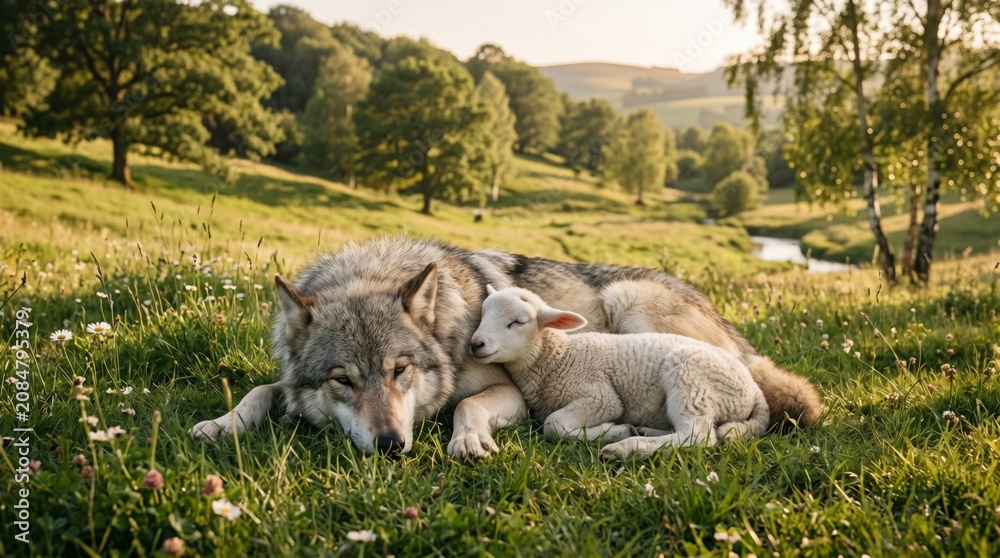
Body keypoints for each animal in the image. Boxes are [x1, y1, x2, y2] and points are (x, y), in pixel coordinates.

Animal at [469, 285, 770, 459]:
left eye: (518, 322)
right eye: (482, 314)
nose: (475, 344)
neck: (558, 356)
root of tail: (756, 392)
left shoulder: (601, 397)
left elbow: (554, 425)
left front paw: (613, 432)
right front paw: (620, 430)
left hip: (691, 381)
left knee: (697, 436)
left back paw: (628, 448)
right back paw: (643, 431)